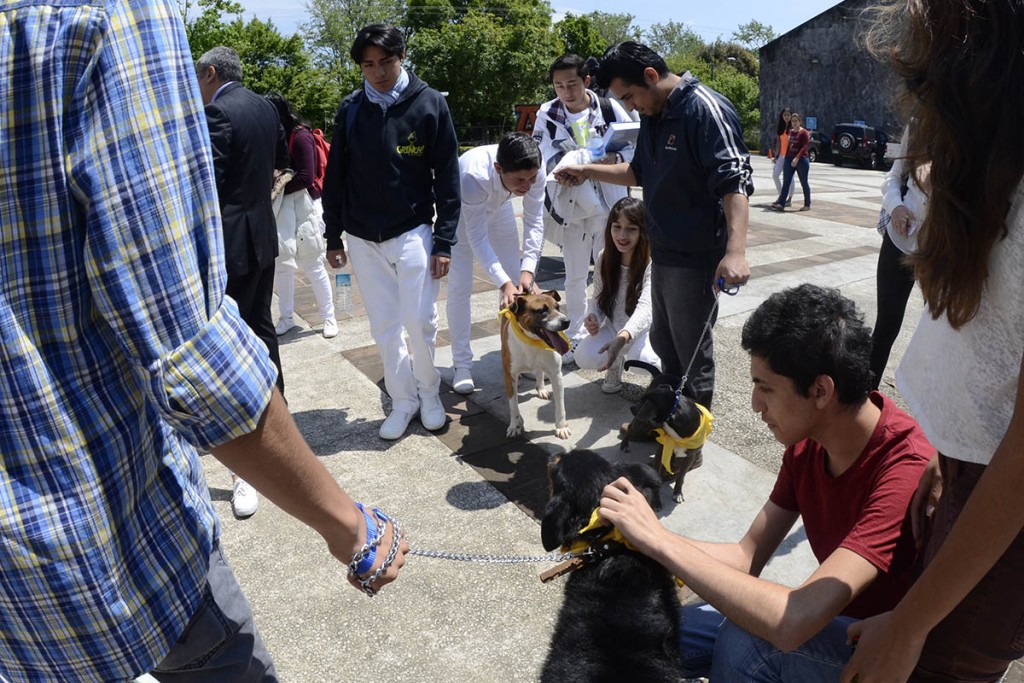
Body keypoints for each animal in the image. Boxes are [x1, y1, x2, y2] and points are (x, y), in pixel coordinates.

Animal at [499, 290, 573, 440]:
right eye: (542, 311)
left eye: (558, 307)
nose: (566, 321)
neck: (532, 340)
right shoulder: (510, 375)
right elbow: (513, 406)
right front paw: (515, 426)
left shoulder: (556, 375)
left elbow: (560, 405)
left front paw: (561, 427)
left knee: (539, 371)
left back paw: (541, 388)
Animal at [618, 360, 708, 505]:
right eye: (641, 400)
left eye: (644, 402)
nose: (632, 408)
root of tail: (661, 374)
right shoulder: (662, 449)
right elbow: (657, 472)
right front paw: (656, 501)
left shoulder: (688, 457)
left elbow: (681, 477)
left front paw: (677, 492)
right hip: (643, 421)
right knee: (631, 427)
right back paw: (625, 444)